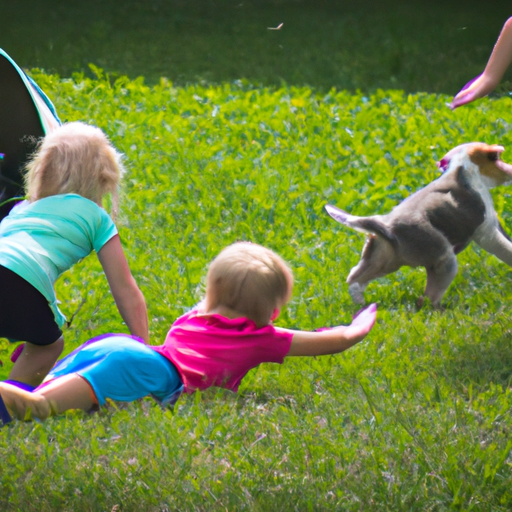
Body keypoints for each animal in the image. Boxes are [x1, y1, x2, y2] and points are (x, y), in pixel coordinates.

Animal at [326, 142, 512, 306]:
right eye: (495, 157)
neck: (463, 167)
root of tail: (387, 228)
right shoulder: (484, 228)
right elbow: (498, 243)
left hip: (382, 258)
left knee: (354, 278)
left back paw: (360, 303)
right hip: (439, 255)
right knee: (429, 296)